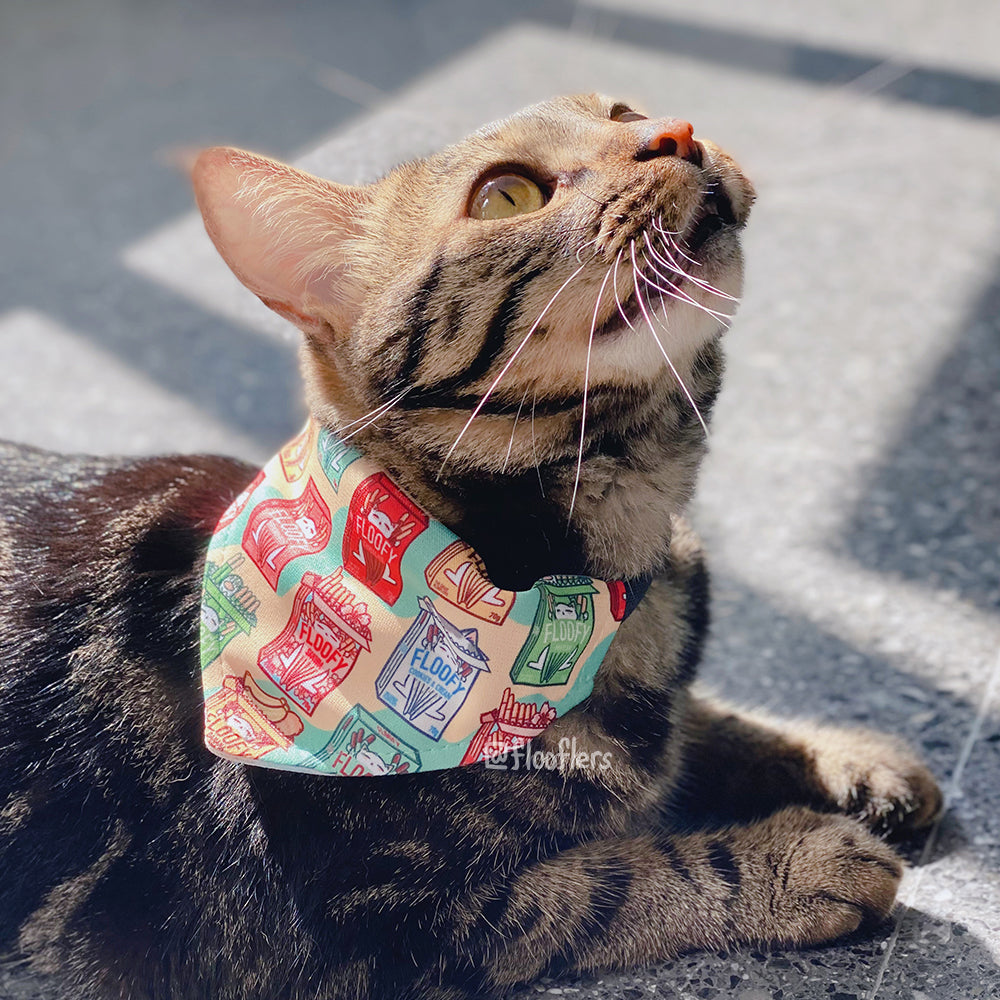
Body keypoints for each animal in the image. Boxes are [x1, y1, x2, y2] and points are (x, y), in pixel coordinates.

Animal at [0, 95, 940, 1000]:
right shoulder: (364, 923)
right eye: (508, 196)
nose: (677, 132)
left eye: (624, 111)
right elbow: (618, 881)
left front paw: (848, 758)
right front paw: (798, 860)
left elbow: (705, 722)